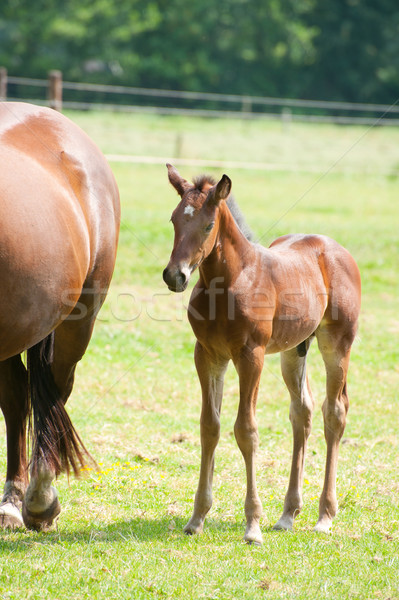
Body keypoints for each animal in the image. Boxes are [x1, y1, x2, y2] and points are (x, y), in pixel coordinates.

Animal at [163, 164, 362, 544]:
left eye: (208, 225)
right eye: (174, 220)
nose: (174, 276)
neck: (230, 280)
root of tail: (336, 248)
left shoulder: (249, 356)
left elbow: (246, 430)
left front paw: (252, 524)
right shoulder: (207, 355)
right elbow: (209, 426)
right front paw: (197, 518)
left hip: (337, 343)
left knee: (334, 412)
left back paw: (324, 516)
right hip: (294, 350)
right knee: (302, 412)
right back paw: (288, 514)